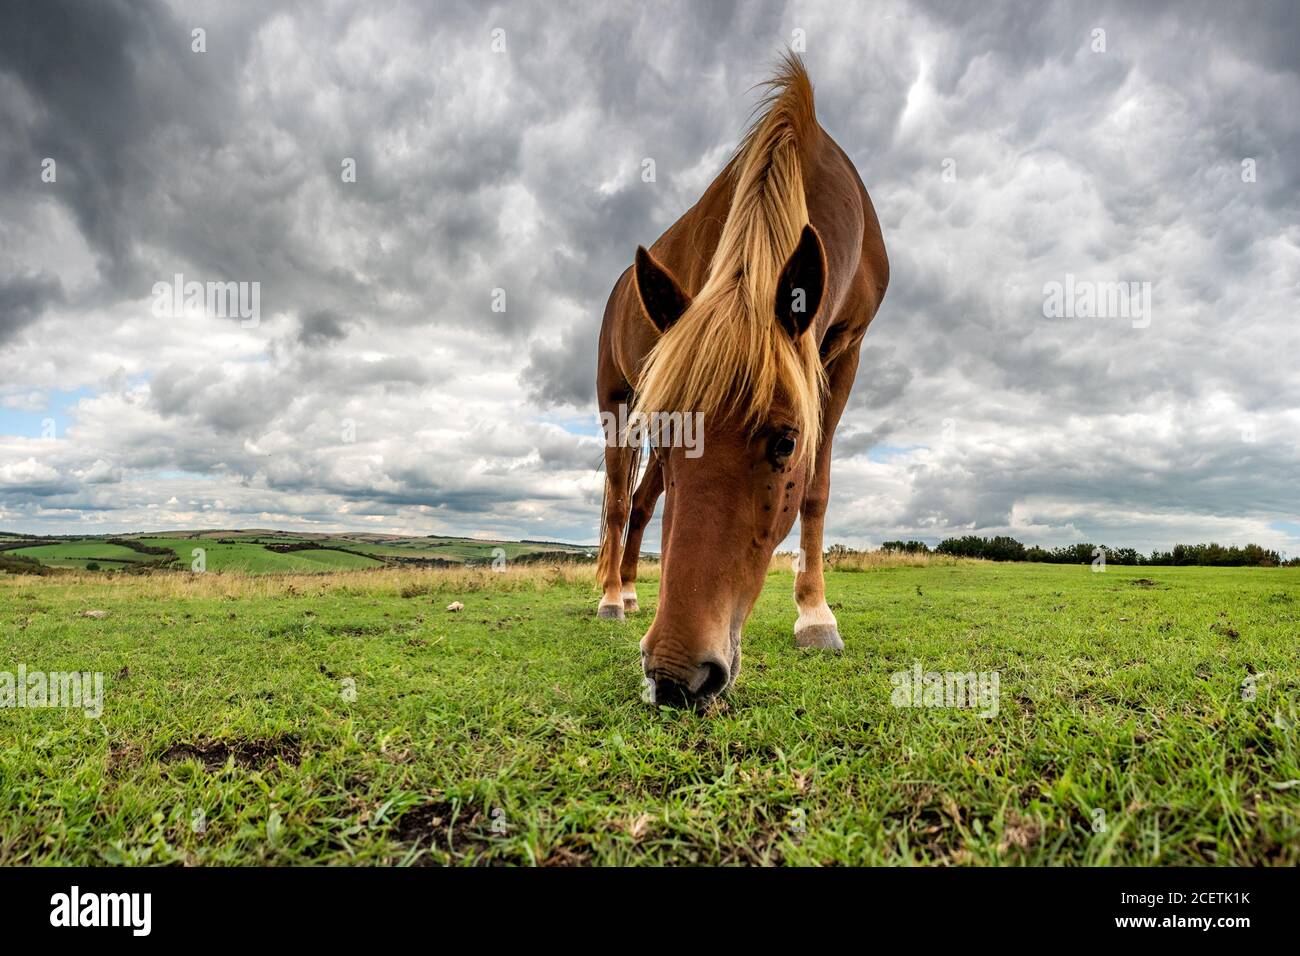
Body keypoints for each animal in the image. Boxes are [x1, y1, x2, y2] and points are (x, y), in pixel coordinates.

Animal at [595, 54, 889, 712]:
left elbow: (817, 489)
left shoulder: (845, 354)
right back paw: (609, 597)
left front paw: (815, 616)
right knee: (619, 500)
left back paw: (629, 592)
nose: (674, 675)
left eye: (785, 442)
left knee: (642, 503)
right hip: (614, 403)